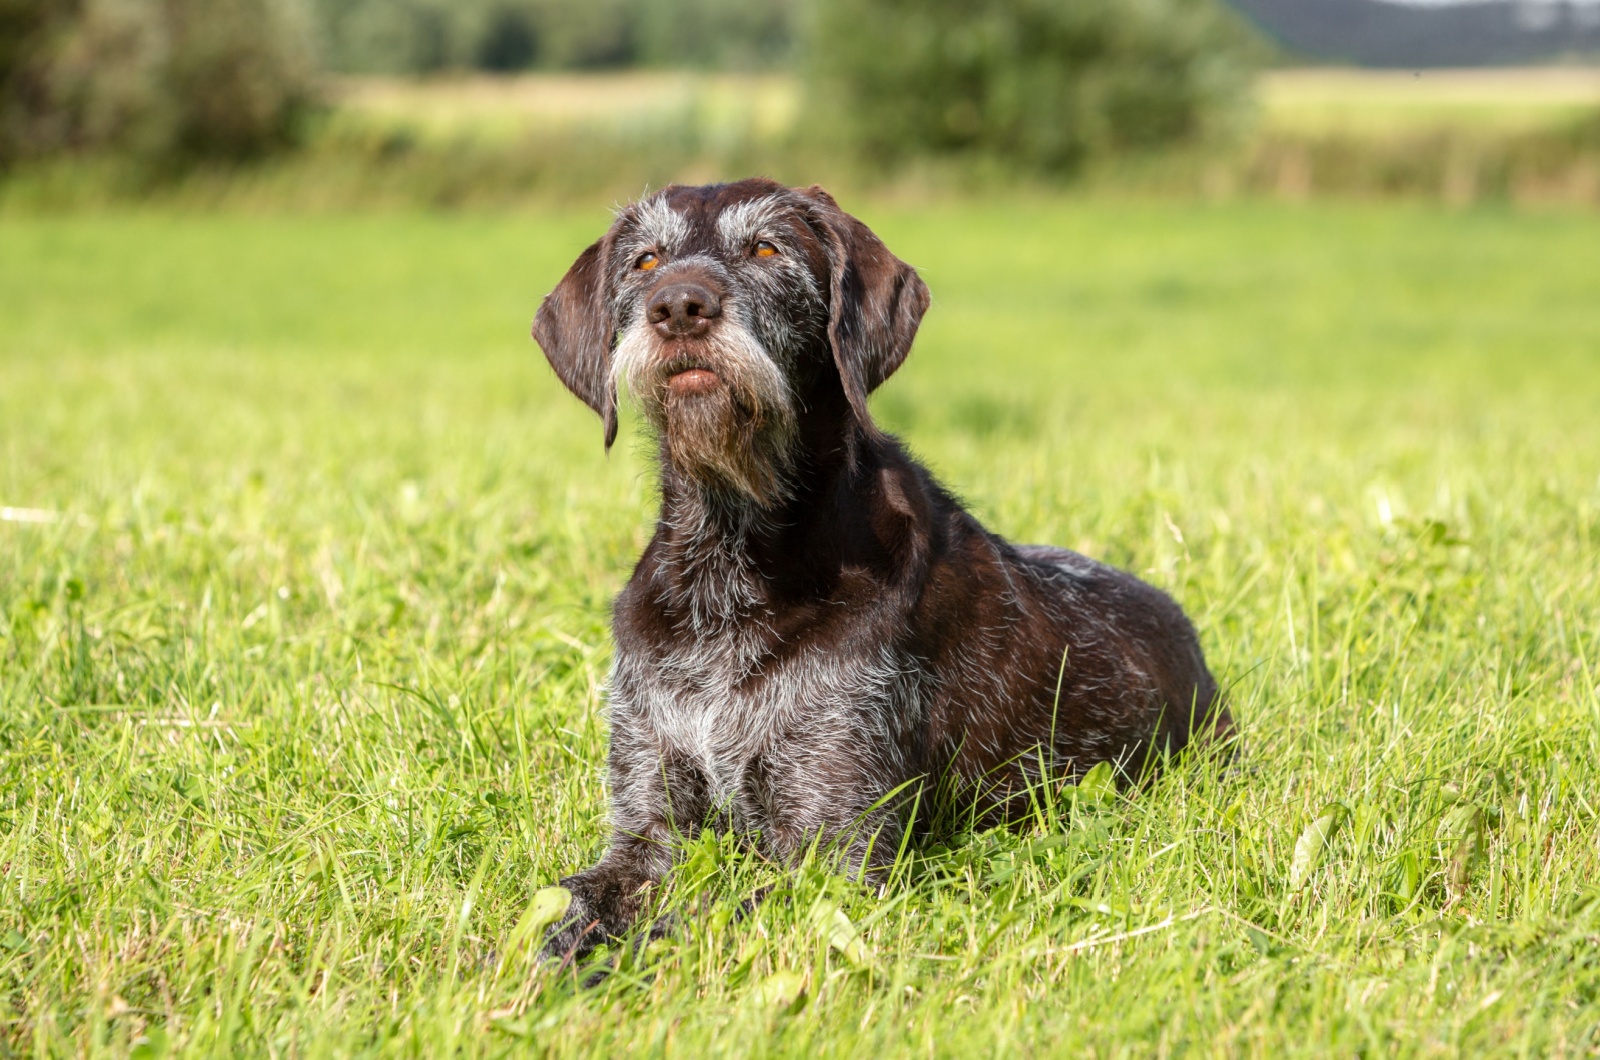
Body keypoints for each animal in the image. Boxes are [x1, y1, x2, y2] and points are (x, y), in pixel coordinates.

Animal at [531, 178, 1228, 960]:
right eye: (646, 260)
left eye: (766, 248)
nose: (679, 306)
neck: (728, 562)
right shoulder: (647, 827)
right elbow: (568, 901)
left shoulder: (838, 856)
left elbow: (693, 924)